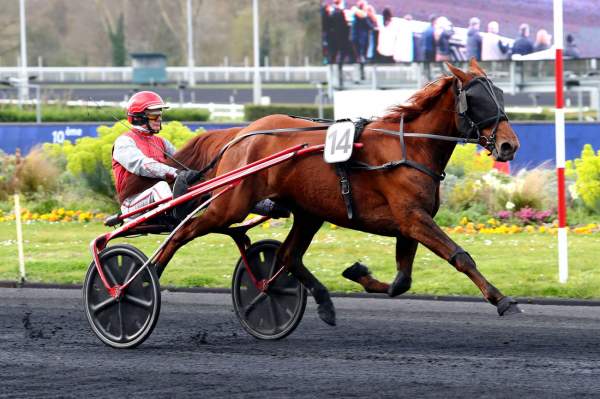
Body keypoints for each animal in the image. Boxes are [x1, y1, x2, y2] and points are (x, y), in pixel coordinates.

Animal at [134, 59, 524, 324]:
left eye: (501, 95)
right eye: (479, 100)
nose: (509, 146)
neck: (407, 147)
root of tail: (240, 134)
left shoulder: (409, 222)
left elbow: (402, 281)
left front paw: (357, 273)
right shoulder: (413, 218)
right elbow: (460, 256)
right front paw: (503, 300)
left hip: (309, 212)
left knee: (288, 256)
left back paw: (320, 301)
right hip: (230, 204)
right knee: (183, 230)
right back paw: (143, 281)